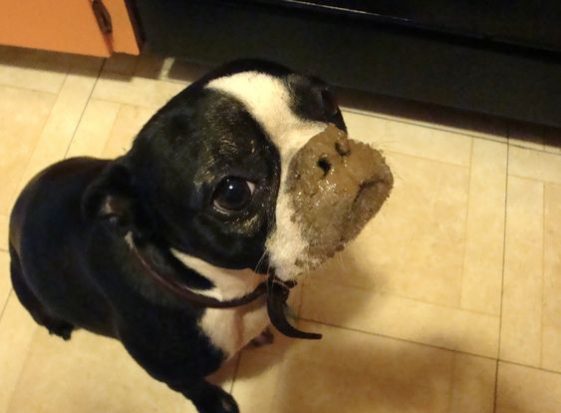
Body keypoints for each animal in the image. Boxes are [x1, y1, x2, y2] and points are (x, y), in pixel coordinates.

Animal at [9, 58, 394, 412]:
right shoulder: (170, 372)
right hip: (21, 279)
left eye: (327, 98)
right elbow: (193, 386)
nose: (327, 148)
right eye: (233, 192)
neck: (227, 290)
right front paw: (217, 403)